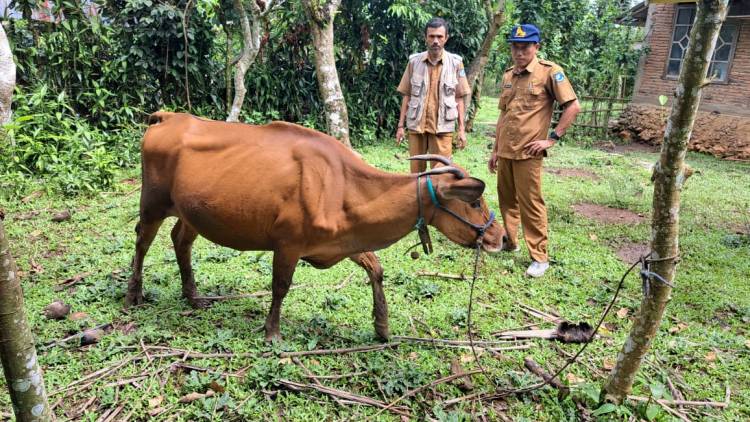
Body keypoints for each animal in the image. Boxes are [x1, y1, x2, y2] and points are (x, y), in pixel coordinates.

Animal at [128, 111, 506, 340]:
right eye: (475, 202)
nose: (501, 237)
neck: (343, 186)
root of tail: (170, 117)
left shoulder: (344, 240)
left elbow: (376, 268)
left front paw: (382, 325)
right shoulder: (288, 243)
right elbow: (281, 286)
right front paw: (272, 331)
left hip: (191, 211)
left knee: (181, 241)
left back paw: (192, 296)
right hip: (152, 203)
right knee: (142, 242)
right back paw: (134, 294)